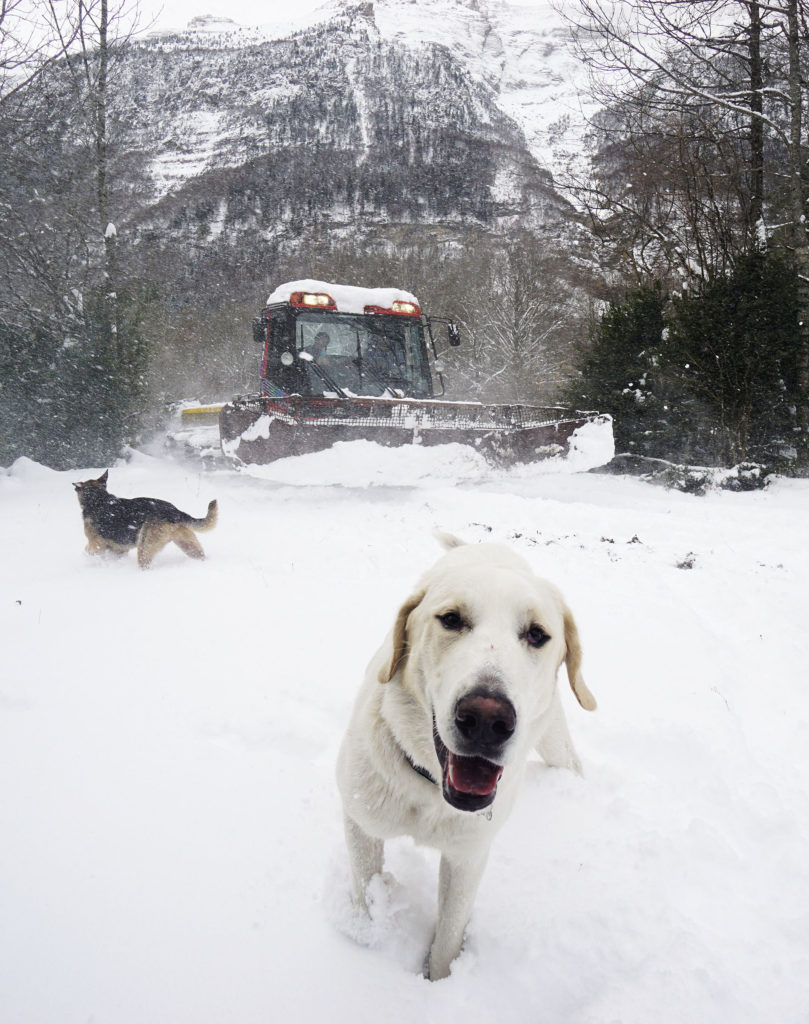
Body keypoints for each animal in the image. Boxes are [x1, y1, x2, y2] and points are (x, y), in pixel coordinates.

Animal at [72, 468, 217, 569]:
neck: (98, 500)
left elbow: (88, 551)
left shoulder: (96, 545)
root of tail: (174, 511)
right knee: (200, 555)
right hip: (187, 544)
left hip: (145, 545)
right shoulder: (118, 549)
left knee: (145, 563)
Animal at [335, 532, 593, 978]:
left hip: (554, 738)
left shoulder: (468, 856)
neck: (430, 792)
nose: (487, 718)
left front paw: (438, 981)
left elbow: (450, 934)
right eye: (452, 619)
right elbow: (367, 890)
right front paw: (368, 938)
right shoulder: (360, 820)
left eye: (537, 634)